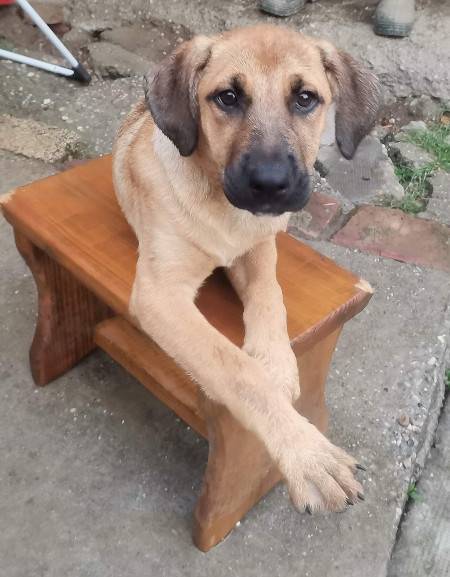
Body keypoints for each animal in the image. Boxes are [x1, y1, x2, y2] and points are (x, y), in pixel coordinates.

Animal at [112, 24, 380, 514]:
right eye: (228, 97)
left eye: (306, 98)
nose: (271, 185)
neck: (223, 210)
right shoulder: (161, 293)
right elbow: (236, 369)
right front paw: (309, 456)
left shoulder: (259, 246)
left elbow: (269, 295)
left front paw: (278, 363)